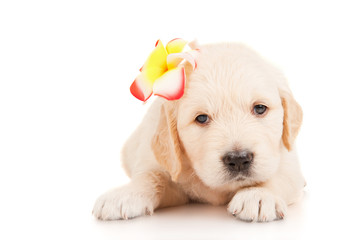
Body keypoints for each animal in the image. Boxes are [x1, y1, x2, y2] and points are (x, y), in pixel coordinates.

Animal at [92, 42, 304, 222]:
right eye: (201, 118)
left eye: (260, 108)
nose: (238, 159)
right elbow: (151, 176)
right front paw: (124, 194)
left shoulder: (287, 160)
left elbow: (279, 175)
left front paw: (258, 194)